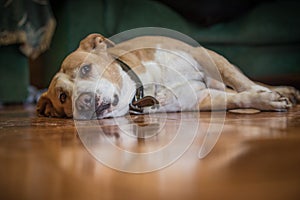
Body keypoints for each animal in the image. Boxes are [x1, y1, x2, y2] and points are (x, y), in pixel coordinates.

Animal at [37, 33, 300, 119]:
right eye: (63, 97)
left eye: (85, 69)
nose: (83, 101)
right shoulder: (198, 98)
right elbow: (238, 98)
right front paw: (264, 100)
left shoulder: (204, 56)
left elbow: (241, 83)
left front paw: (267, 95)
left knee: (246, 80)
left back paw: (286, 90)